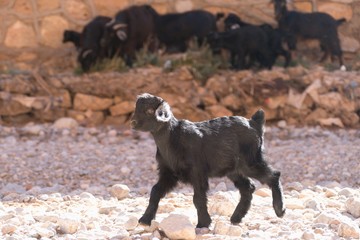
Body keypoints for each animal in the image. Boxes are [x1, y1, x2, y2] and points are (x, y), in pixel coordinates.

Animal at [131, 93, 286, 228]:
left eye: (150, 110)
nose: (133, 122)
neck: (173, 137)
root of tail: (254, 122)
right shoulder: (168, 172)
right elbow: (155, 191)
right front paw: (145, 219)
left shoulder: (197, 171)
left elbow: (198, 197)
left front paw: (203, 223)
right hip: (233, 169)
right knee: (248, 187)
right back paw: (236, 217)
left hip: (250, 161)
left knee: (273, 175)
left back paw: (280, 210)